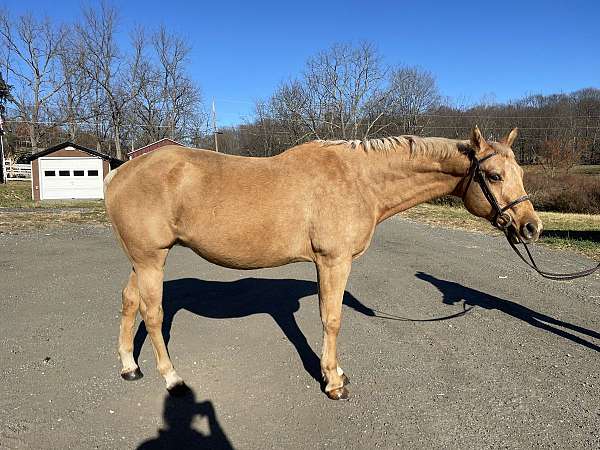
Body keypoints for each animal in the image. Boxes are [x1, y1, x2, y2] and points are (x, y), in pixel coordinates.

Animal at [105, 125, 540, 400]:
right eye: (494, 175)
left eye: (520, 171)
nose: (531, 226)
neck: (359, 180)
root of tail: (119, 173)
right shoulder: (333, 262)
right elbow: (331, 319)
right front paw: (334, 382)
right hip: (151, 259)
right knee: (153, 313)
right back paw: (172, 379)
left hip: (141, 260)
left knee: (128, 302)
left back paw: (130, 366)